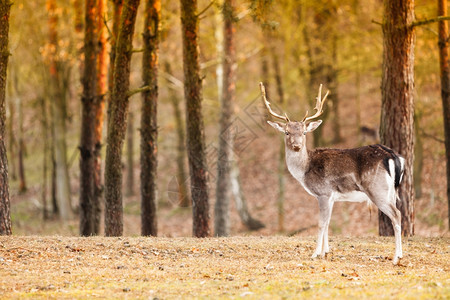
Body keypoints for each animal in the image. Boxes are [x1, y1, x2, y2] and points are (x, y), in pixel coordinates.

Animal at [260, 82, 404, 264]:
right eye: (287, 132)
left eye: (304, 132)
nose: (297, 146)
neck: (305, 170)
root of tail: (392, 156)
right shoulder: (332, 197)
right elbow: (328, 222)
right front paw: (326, 252)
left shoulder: (323, 192)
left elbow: (321, 223)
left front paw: (315, 253)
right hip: (391, 191)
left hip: (377, 190)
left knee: (397, 214)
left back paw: (397, 257)